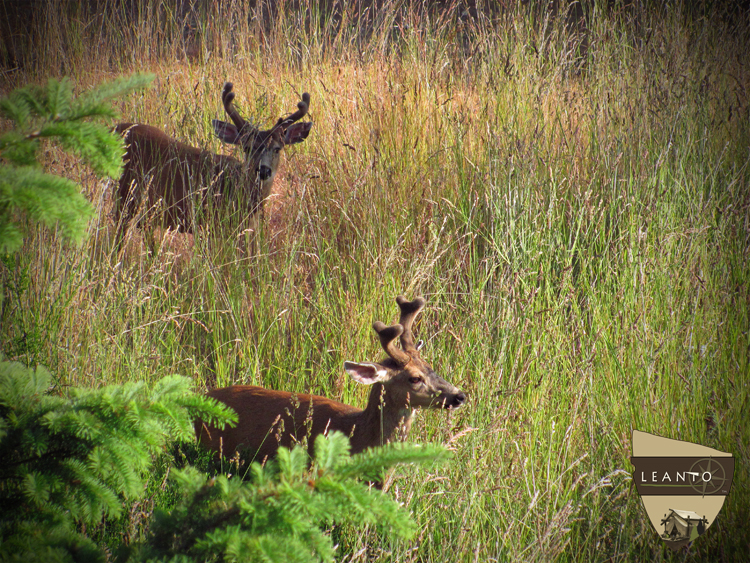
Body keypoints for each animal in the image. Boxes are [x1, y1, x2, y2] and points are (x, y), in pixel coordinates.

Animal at [113, 82, 312, 247]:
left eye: (277, 148)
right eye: (247, 148)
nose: (263, 171)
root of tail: (116, 128)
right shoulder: (211, 223)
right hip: (125, 196)